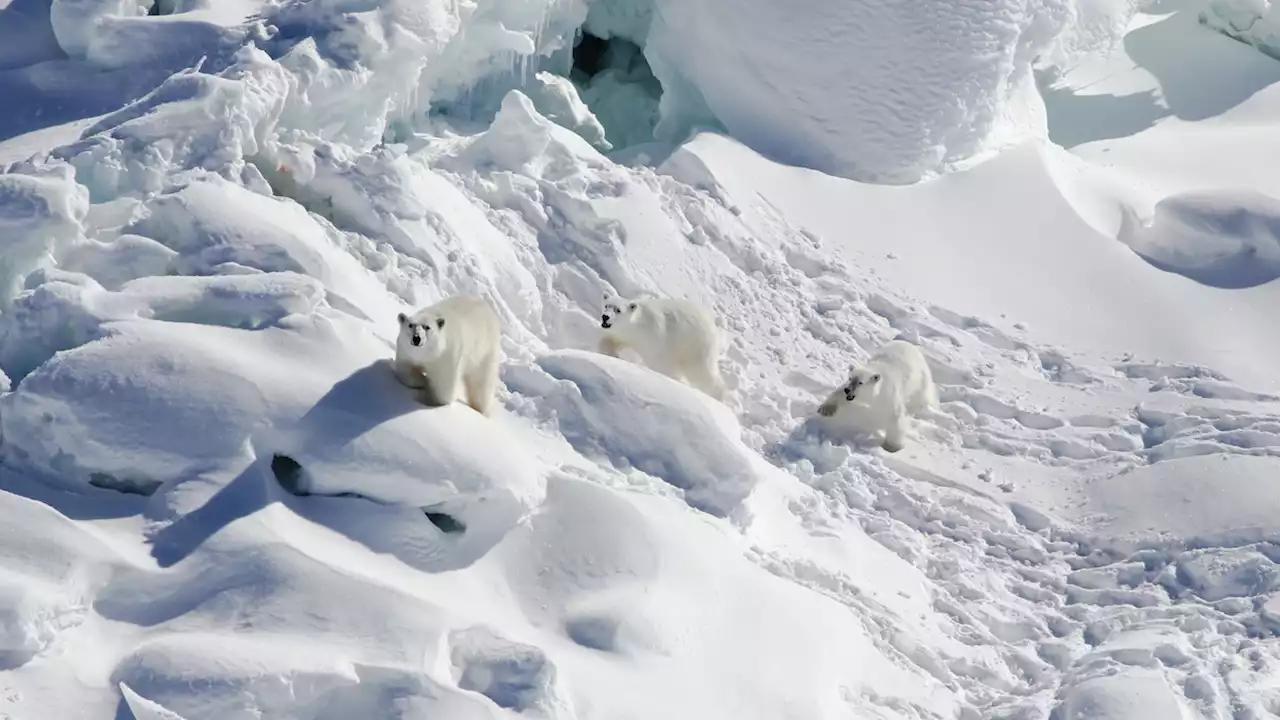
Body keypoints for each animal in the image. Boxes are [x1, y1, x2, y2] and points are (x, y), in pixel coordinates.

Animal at [593, 294, 727, 399]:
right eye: (607, 305)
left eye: (618, 310)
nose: (605, 317)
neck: (636, 327)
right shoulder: (621, 334)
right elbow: (608, 341)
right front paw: (612, 355)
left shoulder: (654, 339)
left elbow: (661, 363)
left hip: (695, 345)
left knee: (701, 371)